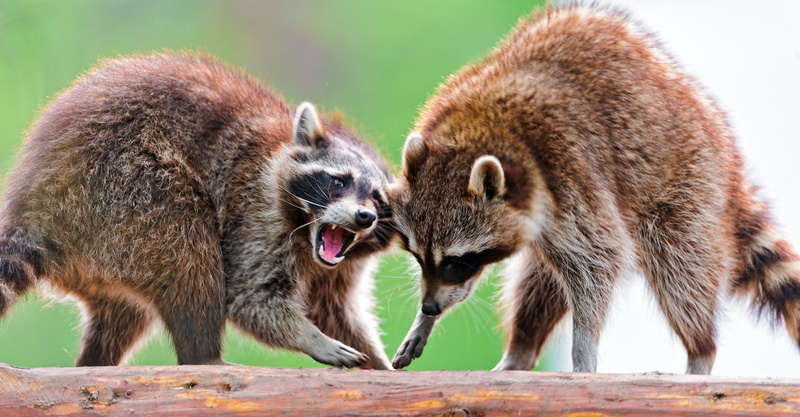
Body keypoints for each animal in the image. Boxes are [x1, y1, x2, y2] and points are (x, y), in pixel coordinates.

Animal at [0, 52, 394, 369]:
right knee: (190, 252)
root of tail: (34, 204)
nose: (364, 217)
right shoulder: (256, 209)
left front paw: (379, 363)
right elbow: (250, 296)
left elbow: (334, 310)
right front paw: (311, 337)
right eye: (339, 182)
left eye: (378, 199)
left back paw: (96, 361)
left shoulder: (342, 264)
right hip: (123, 189)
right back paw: (203, 355)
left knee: (125, 311)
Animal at [389, 5, 800, 374]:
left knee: (681, 270)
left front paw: (584, 348)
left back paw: (701, 349)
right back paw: (521, 349)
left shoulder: (570, 173)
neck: (480, 128)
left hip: (687, 182)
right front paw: (426, 319)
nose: (429, 307)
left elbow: (600, 258)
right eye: (418, 257)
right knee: (540, 282)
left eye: (457, 260)